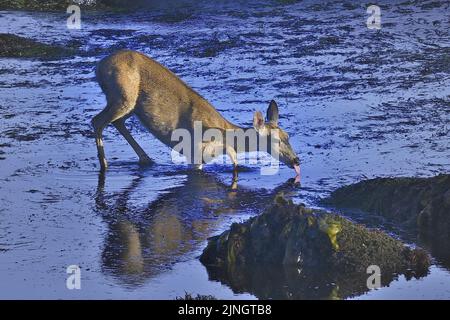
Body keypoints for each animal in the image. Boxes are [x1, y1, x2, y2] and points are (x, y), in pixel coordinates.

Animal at [91, 49, 300, 178]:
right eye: (276, 140)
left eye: (288, 136)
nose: (296, 160)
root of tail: (99, 67)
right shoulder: (195, 151)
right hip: (122, 96)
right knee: (96, 120)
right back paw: (105, 165)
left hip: (130, 104)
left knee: (116, 122)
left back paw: (146, 160)